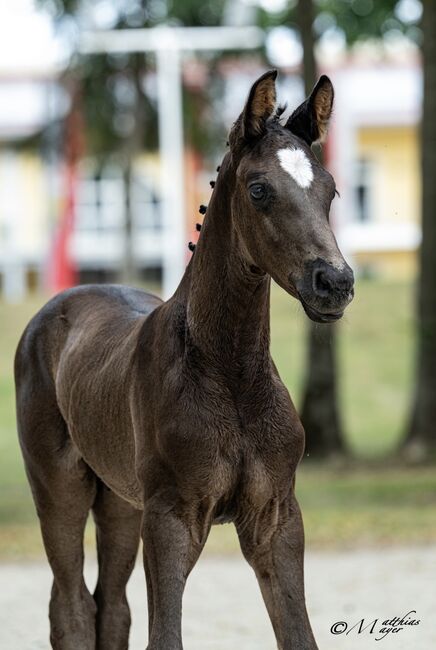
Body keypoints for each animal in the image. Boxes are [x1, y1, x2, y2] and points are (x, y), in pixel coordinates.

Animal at [15, 70, 354, 650]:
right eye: (259, 189)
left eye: (329, 189)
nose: (334, 282)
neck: (231, 373)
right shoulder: (171, 518)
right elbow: (165, 635)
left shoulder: (276, 518)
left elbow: (299, 635)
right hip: (59, 487)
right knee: (72, 607)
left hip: (120, 502)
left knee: (111, 608)